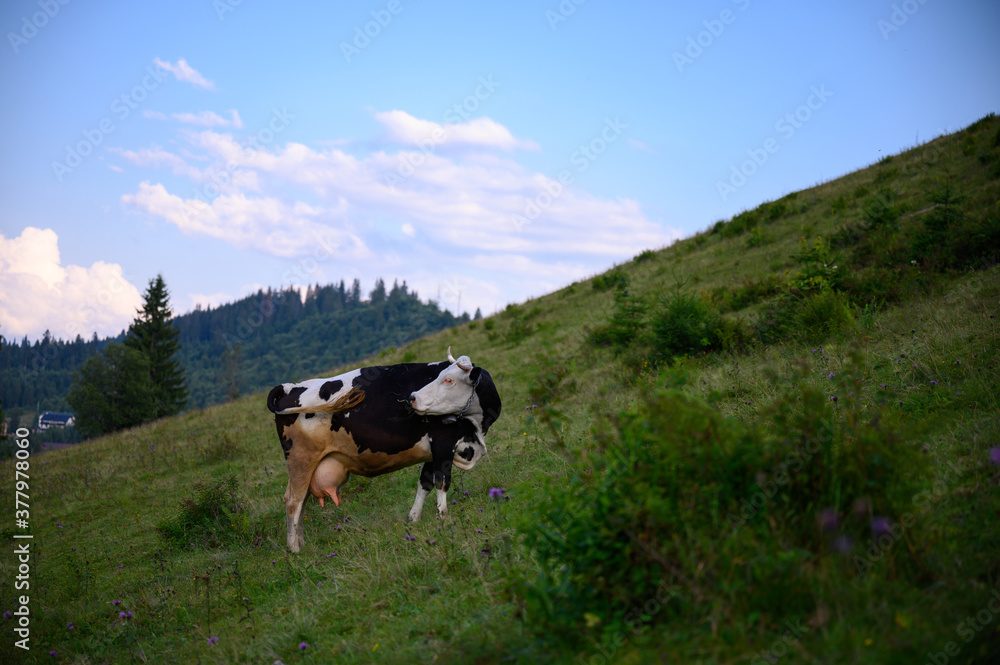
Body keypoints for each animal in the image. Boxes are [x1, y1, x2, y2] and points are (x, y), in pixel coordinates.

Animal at [266, 348, 500, 548]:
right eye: (441, 376)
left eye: (449, 379)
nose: (413, 397)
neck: (477, 428)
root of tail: (289, 386)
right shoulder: (443, 444)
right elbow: (442, 482)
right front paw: (444, 519)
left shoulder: (433, 452)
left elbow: (424, 483)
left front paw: (413, 519)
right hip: (301, 459)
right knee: (294, 502)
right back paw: (295, 549)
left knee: (301, 500)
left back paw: (301, 543)